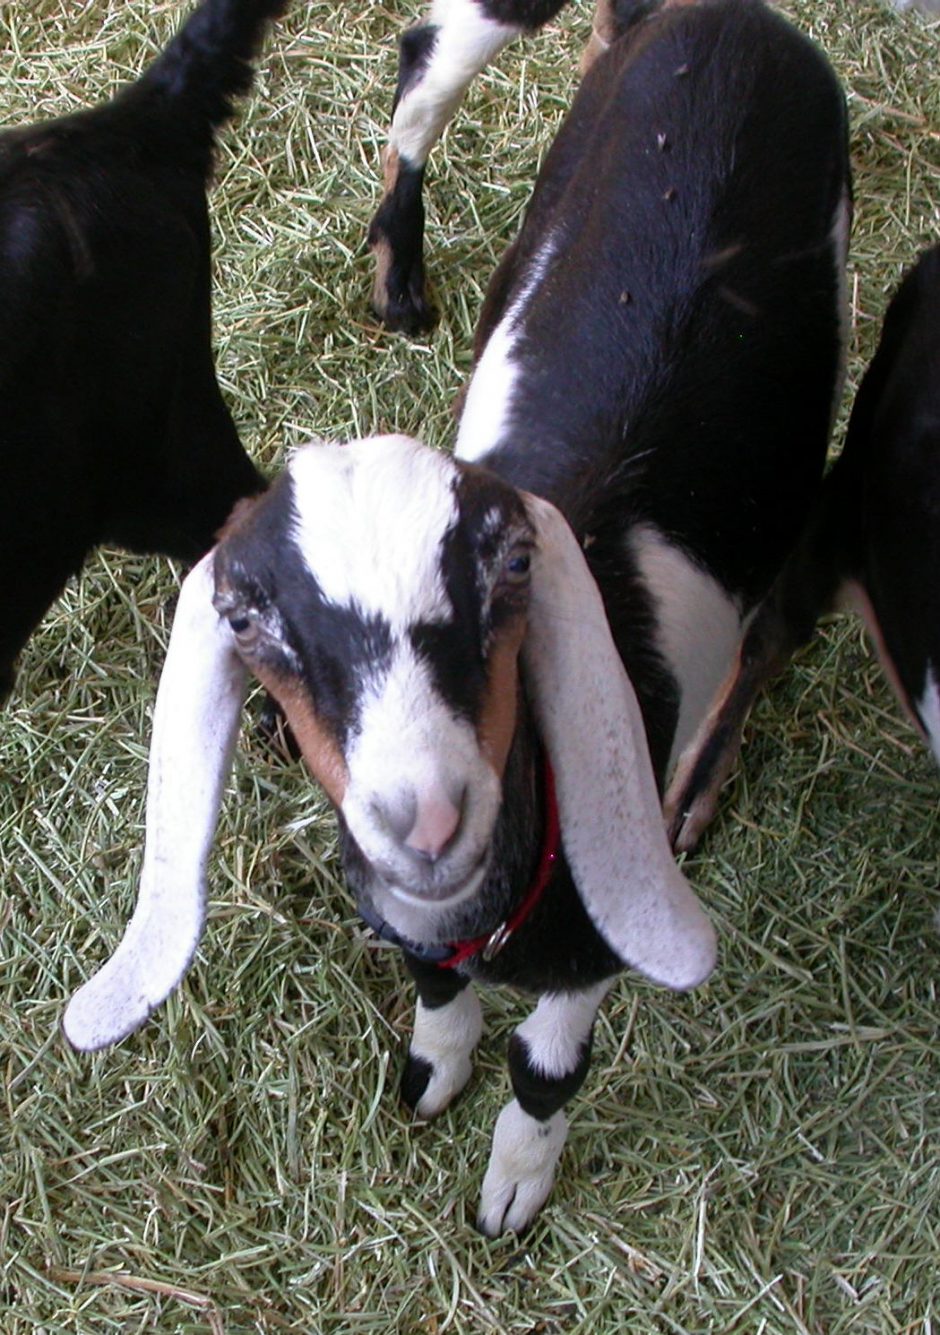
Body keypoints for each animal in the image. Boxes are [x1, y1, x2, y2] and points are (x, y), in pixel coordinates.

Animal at [64, 0, 850, 1235]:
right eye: (244, 615)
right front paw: (432, 1070)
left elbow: (547, 1069)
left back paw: (700, 783)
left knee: (772, 628)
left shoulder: (587, 958)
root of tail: (725, 18)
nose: (423, 819)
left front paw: (512, 1187)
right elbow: (432, 990)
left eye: (514, 564)